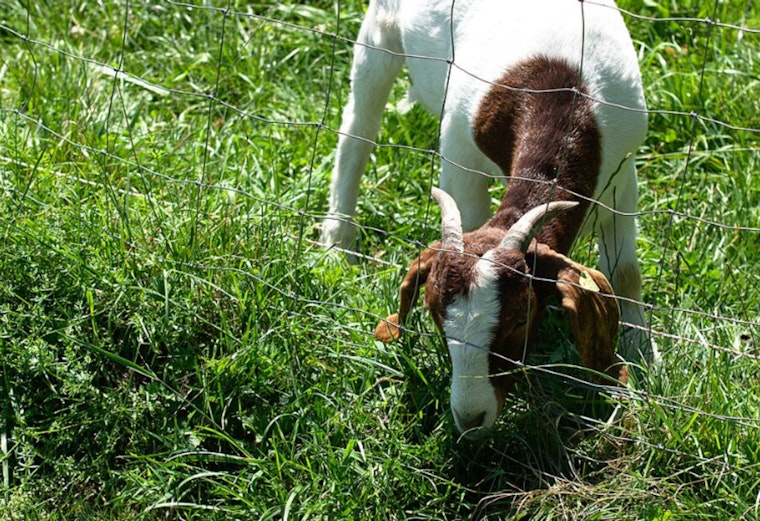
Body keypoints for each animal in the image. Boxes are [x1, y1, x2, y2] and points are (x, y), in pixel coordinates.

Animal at [321, 0, 656, 434]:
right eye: (437, 320)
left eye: (518, 322)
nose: (470, 418)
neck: (562, 102)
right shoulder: (459, 156)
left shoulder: (623, 173)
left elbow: (625, 272)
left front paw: (641, 352)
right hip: (380, 29)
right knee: (359, 129)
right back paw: (338, 244)